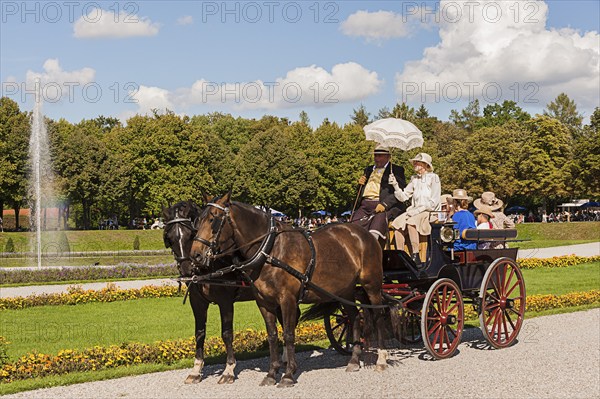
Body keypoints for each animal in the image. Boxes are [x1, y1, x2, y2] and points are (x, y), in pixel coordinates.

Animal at [192, 194, 390, 388]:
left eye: (213, 219)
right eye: (198, 219)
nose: (195, 255)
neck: (270, 250)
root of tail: (363, 233)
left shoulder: (287, 300)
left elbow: (288, 334)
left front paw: (288, 374)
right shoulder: (263, 302)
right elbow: (272, 336)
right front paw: (272, 373)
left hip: (372, 286)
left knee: (378, 316)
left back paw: (381, 358)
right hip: (345, 291)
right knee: (354, 317)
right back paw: (355, 359)